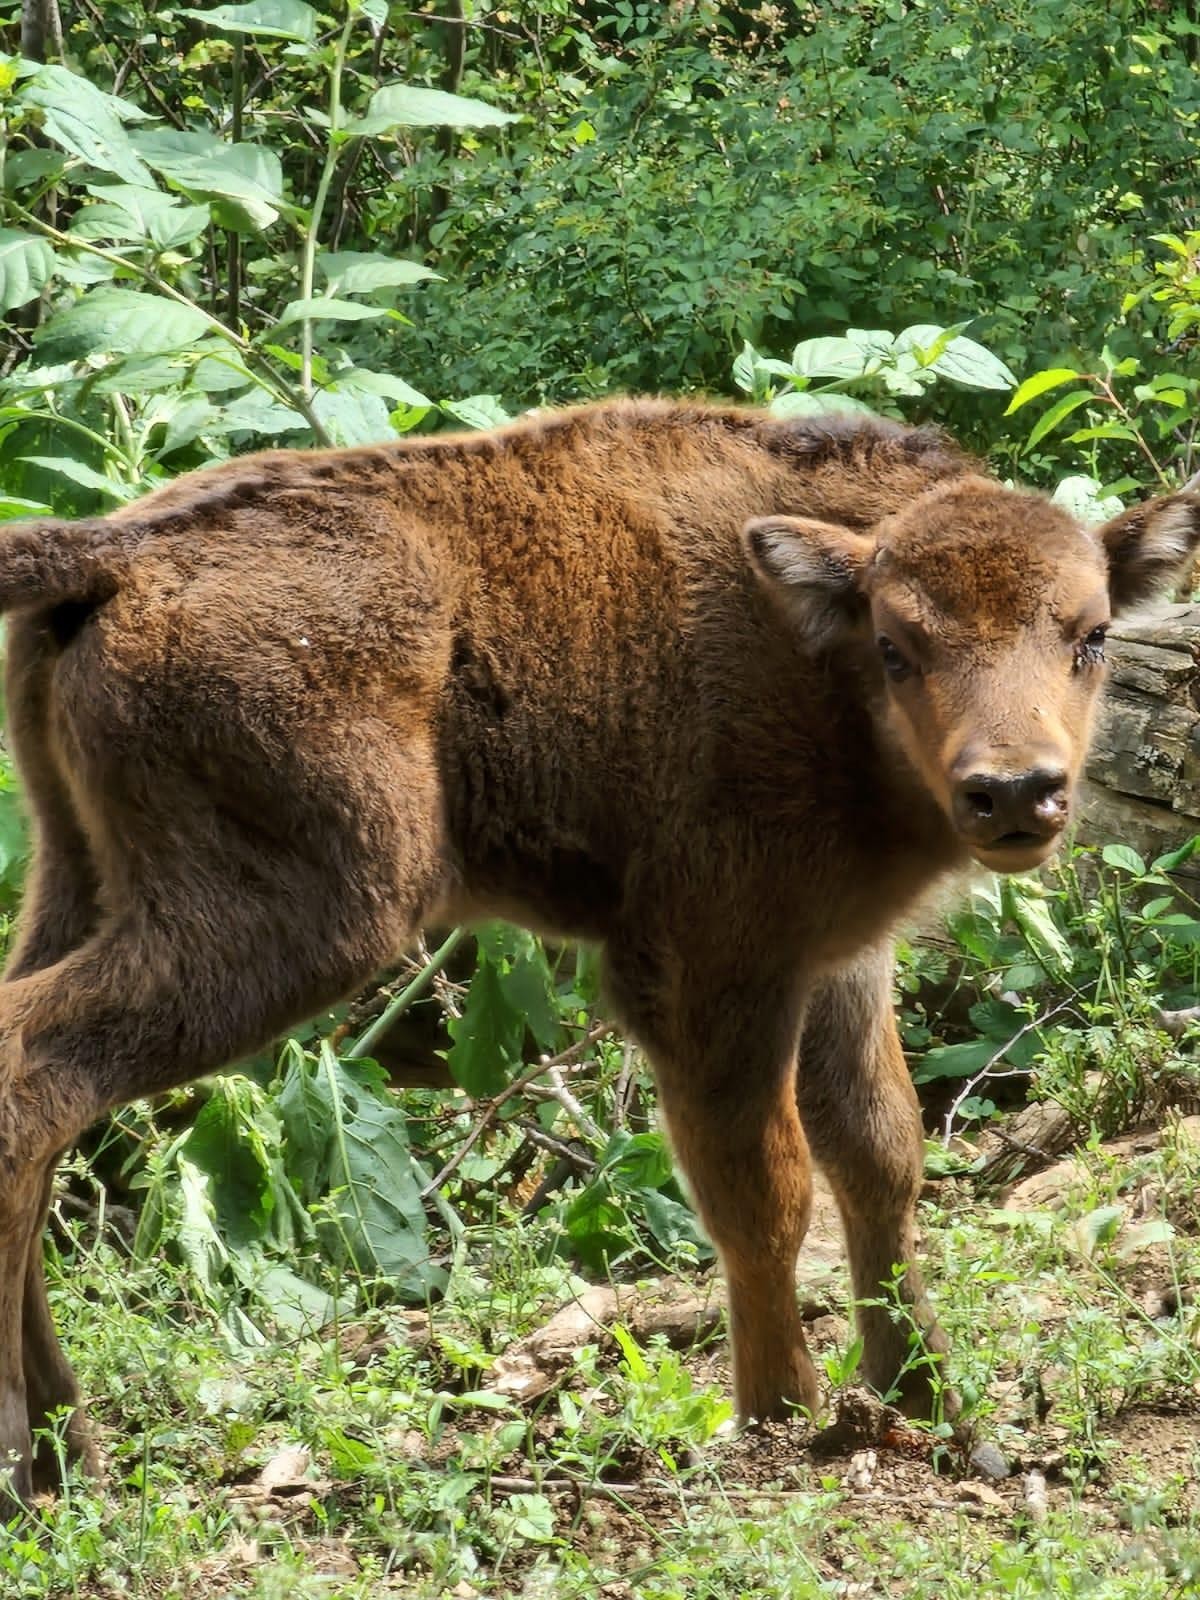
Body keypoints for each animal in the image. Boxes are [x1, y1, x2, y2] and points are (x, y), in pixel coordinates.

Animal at [2, 400, 1200, 1497]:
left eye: (1090, 635)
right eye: (898, 648)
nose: (1015, 791)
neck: (811, 647)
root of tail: (121, 549)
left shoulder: (836, 954)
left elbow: (881, 1155)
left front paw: (933, 1407)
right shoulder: (712, 964)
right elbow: (765, 1186)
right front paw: (784, 1419)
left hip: (81, 875)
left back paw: (66, 1457)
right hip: (304, 918)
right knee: (37, 1076)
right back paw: (38, 1463)